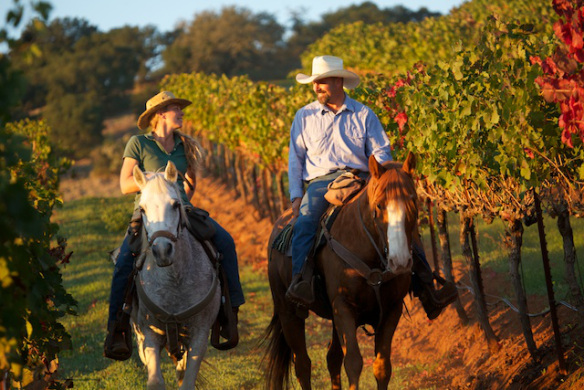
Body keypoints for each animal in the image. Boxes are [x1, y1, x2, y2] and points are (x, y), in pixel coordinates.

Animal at [131, 161, 220, 386]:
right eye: (142, 209)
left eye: (175, 205)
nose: (162, 251)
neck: (174, 282)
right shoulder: (150, 335)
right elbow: (155, 380)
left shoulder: (199, 336)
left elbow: (186, 380)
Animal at [264, 152, 420, 390]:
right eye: (379, 206)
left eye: (414, 201)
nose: (400, 261)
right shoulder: (343, 307)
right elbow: (353, 363)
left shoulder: (391, 311)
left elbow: (382, 368)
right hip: (288, 311)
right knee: (303, 364)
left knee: (332, 358)